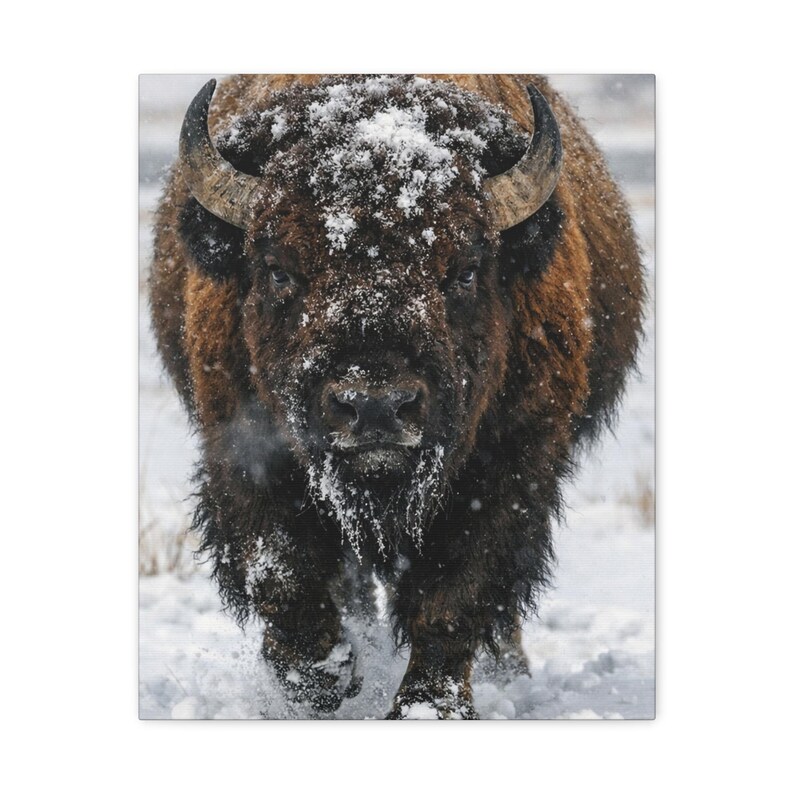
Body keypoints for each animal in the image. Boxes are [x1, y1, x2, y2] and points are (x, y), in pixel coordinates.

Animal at [149, 74, 644, 718]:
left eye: (464, 270)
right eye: (279, 268)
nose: (375, 406)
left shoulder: (510, 470)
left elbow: (457, 595)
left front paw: (429, 706)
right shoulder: (245, 452)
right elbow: (282, 574)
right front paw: (328, 679)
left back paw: (511, 671)